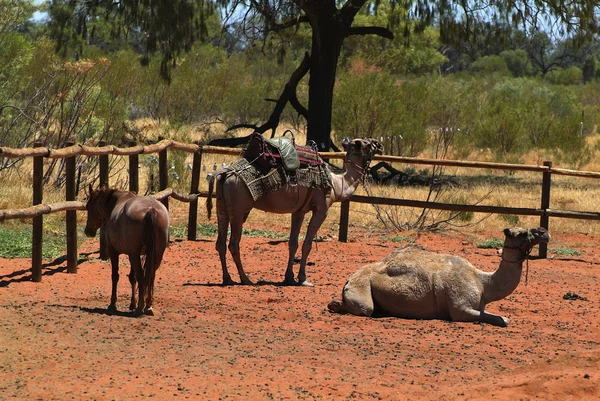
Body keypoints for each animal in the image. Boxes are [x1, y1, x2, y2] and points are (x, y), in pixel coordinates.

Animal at [83, 185, 170, 316]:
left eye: (88, 206)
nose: (88, 231)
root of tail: (151, 210)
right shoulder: (134, 255)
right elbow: (132, 277)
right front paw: (132, 303)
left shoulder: (115, 252)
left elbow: (115, 276)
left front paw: (113, 304)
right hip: (156, 255)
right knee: (150, 276)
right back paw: (148, 306)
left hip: (135, 255)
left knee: (142, 276)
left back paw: (140, 307)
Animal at [206, 137, 384, 284]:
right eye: (367, 143)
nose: (380, 145)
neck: (337, 184)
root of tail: (225, 173)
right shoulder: (322, 209)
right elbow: (307, 244)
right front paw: (303, 279)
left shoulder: (299, 211)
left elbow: (293, 243)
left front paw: (289, 277)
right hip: (238, 208)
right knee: (233, 244)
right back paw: (245, 279)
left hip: (222, 206)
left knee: (220, 242)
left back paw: (227, 278)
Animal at [330, 225, 552, 324]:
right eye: (521, 233)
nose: (543, 232)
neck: (483, 284)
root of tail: (349, 279)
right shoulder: (460, 308)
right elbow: (501, 319)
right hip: (362, 288)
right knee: (365, 308)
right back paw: (335, 304)